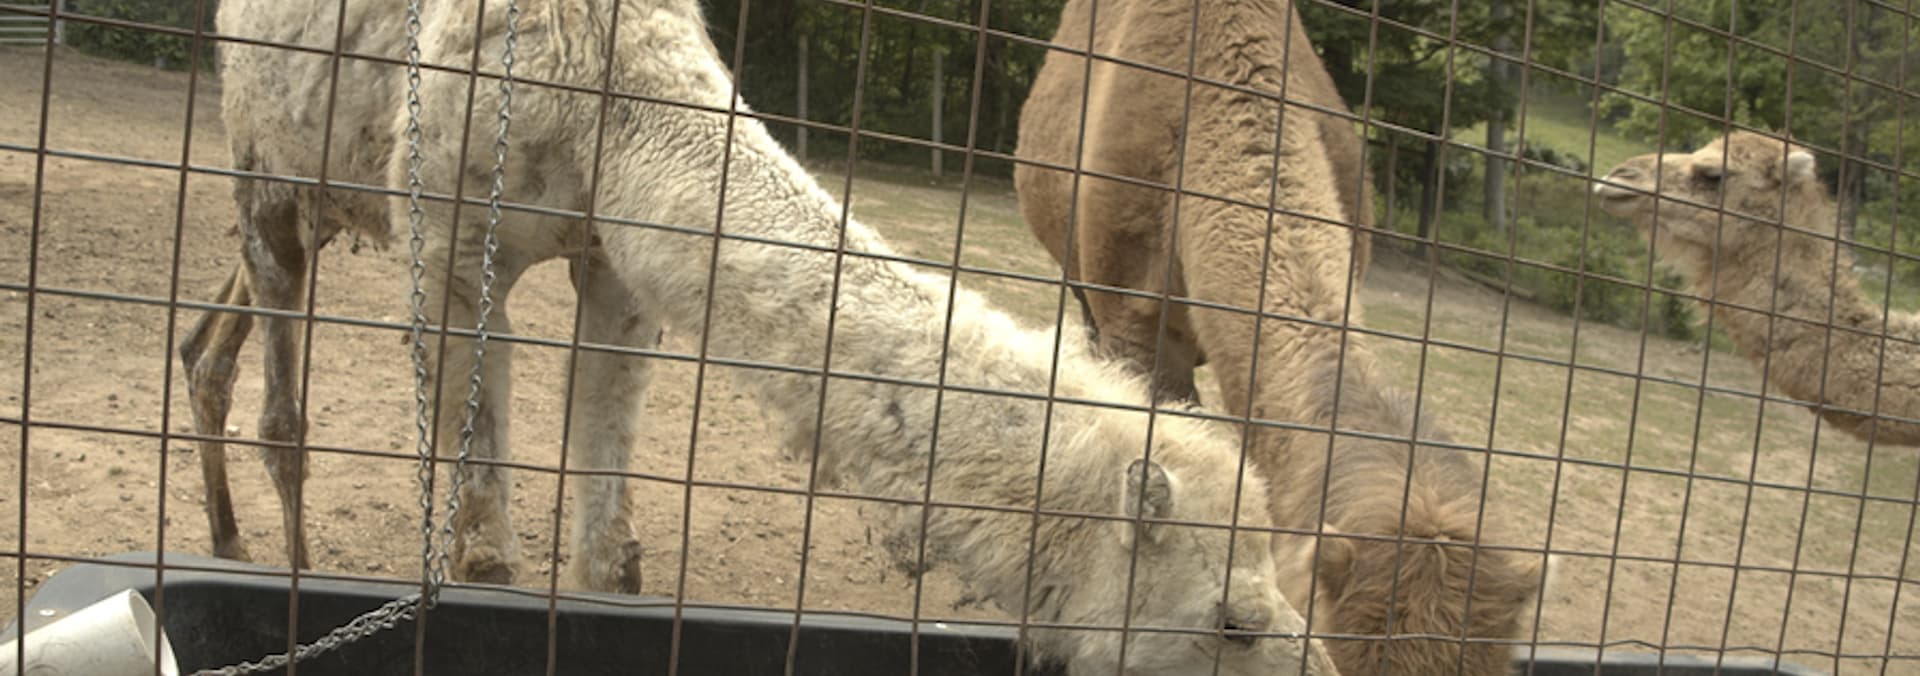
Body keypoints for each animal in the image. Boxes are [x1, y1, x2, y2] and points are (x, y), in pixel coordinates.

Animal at [203, 1, 1347, 672]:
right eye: (1236, 621)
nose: (1325, 670)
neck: (611, 96)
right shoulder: (443, 241)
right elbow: (482, 549)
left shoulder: (618, 263)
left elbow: (605, 547)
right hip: (267, 164)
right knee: (281, 388)